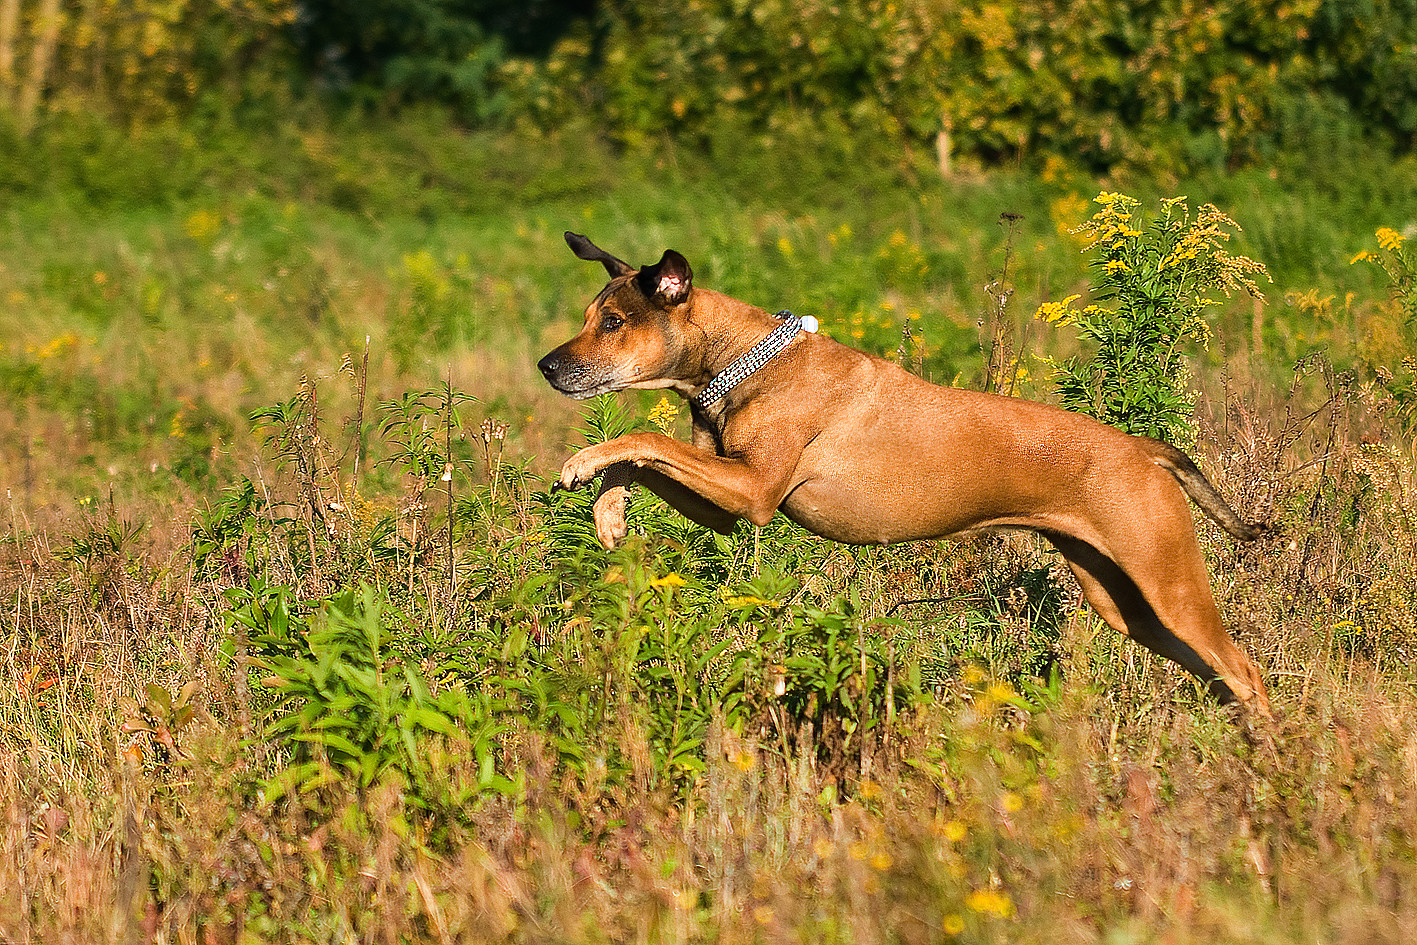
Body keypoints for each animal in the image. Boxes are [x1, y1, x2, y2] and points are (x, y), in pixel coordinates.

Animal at [538, 232, 1275, 714]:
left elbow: (641, 436)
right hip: (1123, 599)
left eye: (612, 322)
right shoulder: (725, 498)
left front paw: (583, 464)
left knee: (1244, 668)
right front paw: (609, 508)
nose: (547, 365)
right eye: (591, 317)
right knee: (1219, 674)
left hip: (1165, 580)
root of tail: (1144, 450)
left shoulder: (751, 490)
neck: (744, 359)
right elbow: (643, 458)